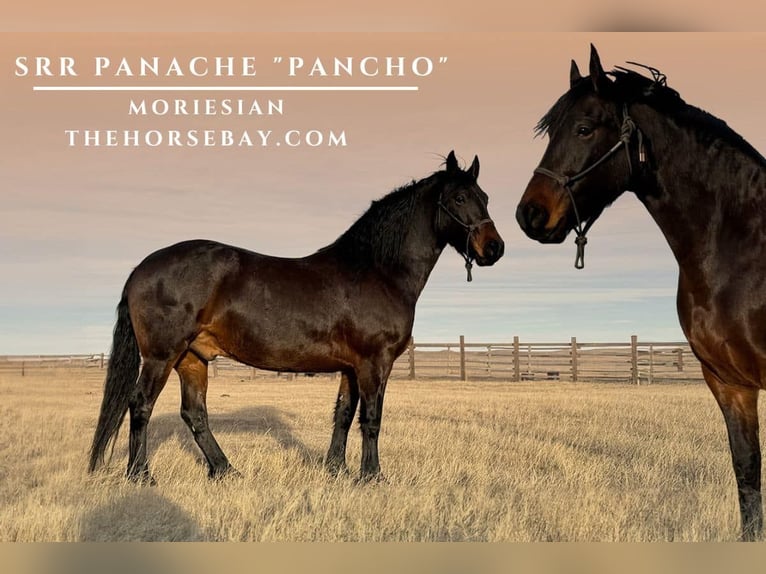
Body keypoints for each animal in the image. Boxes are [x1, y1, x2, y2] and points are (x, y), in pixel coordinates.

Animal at [88, 150, 504, 484]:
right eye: (459, 197)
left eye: (485, 197)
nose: (494, 248)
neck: (376, 270)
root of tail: (141, 269)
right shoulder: (375, 362)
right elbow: (371, 418)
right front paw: (372, 477)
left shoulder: (351, 367)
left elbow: (343, 414)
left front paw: (336, 470)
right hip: (162, 356)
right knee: (140, 405)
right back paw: (141, 476)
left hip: (192, 358)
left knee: (195, 414)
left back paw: (225, 470)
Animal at [515, 44, 766, 541]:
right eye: (550, 130)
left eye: (585, 127)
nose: (529, 214)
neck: (738, 243)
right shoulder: (729, 381)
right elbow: (747, 471)